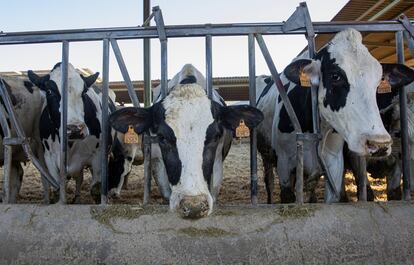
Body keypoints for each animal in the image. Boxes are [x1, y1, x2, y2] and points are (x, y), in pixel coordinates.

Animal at [256, 28, 394, 202]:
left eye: (379, 80)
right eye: (335, 76)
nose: (380, 144)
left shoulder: (334, 165)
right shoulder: (285, 165)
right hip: (266, 155)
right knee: (269, 182)